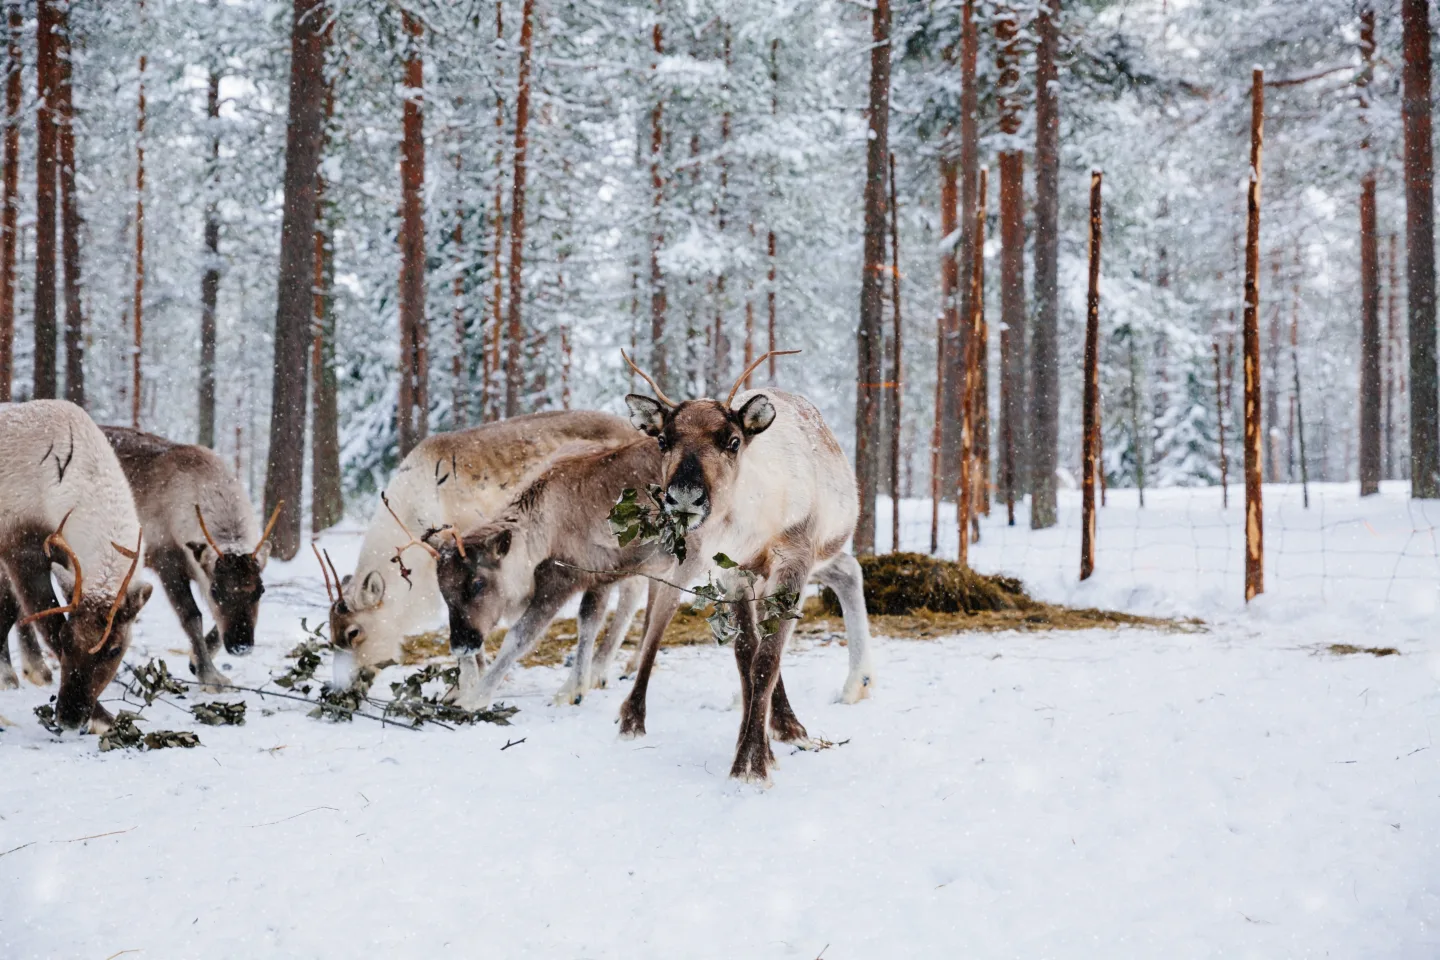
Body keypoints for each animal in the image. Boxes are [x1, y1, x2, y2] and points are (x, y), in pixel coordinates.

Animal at [0, 400, 153, 732]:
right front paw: (104, 718)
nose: (70, 717)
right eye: (65, 640)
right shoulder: (21, 549)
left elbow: (16, 610)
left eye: (115, 649)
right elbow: (45, 619)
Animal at [101, 426, 280, 691]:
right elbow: (192, 615)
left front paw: (196, 662)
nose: (241, 645)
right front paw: (209, 674)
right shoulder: (166, 560)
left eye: (261, 590)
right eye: (216, 591)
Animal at [326, 410, 644, 690]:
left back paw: (609, 669)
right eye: (332, 634)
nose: (339, 687)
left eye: (354, 632)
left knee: (636, 592)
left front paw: (466, 687)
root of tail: (638, 430)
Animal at [619, 351, 874, 785]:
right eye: (663, 440)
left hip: (815, 554)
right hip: (699, 560)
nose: (684, 496)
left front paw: (751, 761)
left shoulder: (795, 559)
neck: (754, 522)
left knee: (847, 570)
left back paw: (850, 686)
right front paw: (757, 750)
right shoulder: (732, 572)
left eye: (733, 441)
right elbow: (746, 654)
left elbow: (765, 660)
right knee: (665, 607)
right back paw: (633, 716)